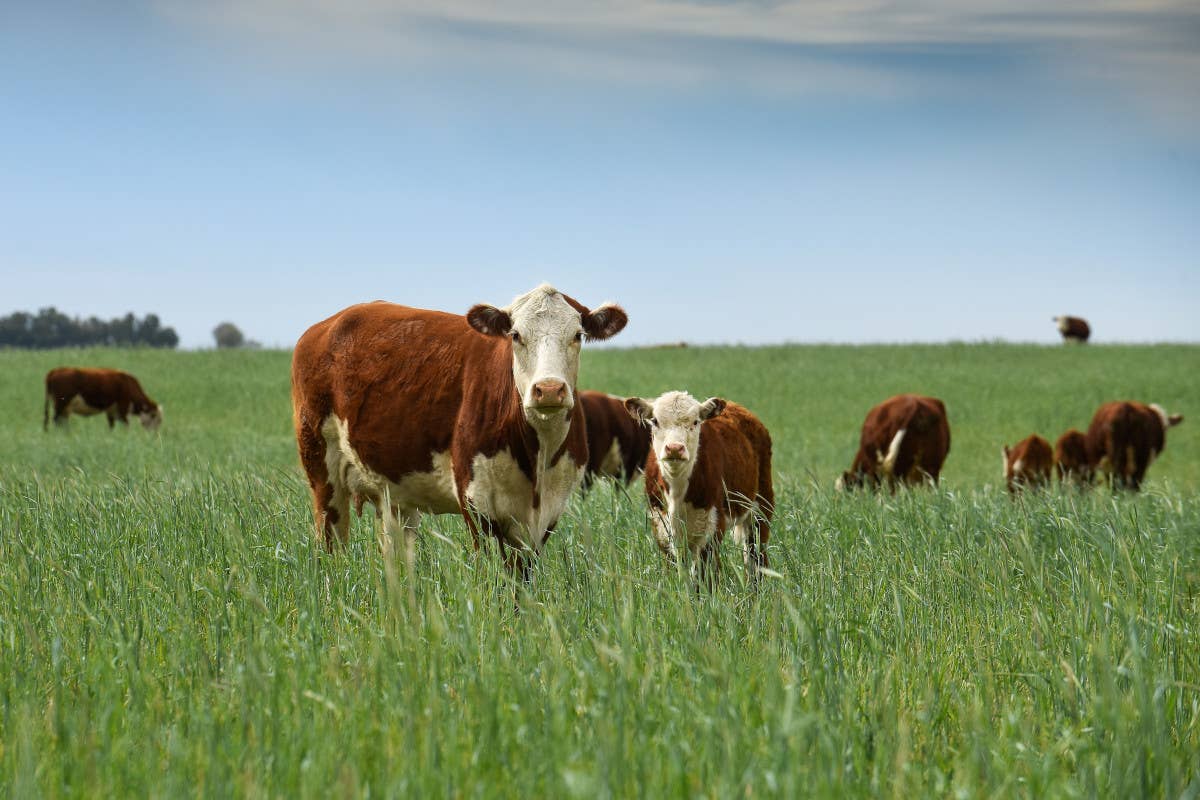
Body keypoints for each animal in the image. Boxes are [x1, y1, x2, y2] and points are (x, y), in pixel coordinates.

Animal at [290, 283, 628, 575]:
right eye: (516, 335)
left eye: (578, 335)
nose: (548, 389)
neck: (537, 455)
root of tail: (327, 325)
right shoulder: (476, 501)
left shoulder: (548, 511)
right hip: (322, 472)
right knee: (331, 545)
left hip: (395, 496)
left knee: (396, 555)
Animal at [624, 391, 772, 585]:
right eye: (655, 421)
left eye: (695, 422)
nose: (674, 448)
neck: (677, 492)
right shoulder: (661, 526)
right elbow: (676, 571)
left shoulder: (711, 527)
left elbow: (703, 575)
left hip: (761, 507)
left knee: (756, 556)